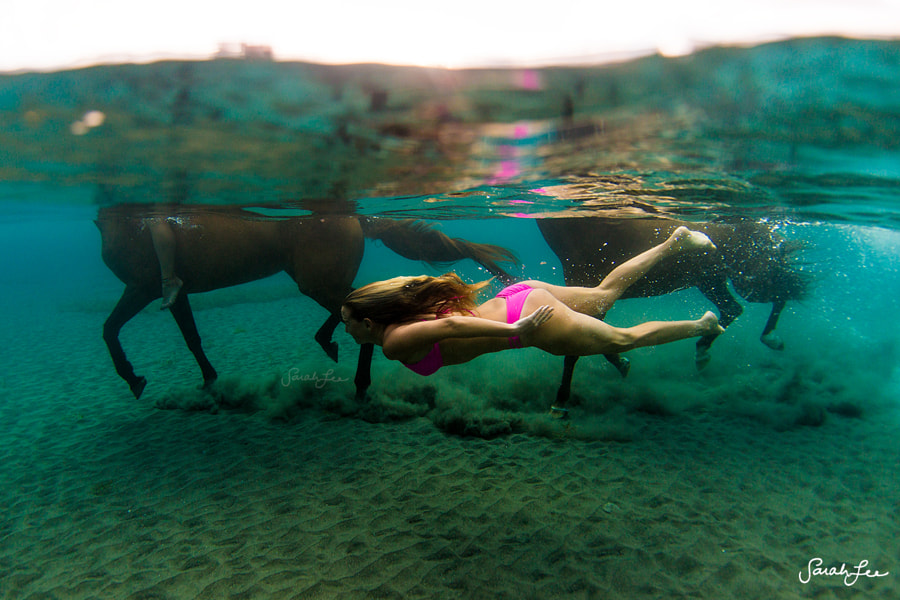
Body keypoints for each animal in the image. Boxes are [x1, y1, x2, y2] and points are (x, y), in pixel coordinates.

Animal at [98, 204, 516, 400]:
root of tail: (355, 219)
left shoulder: (140, 288)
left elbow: (108, 329)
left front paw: (133, 378)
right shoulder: (175, 295)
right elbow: (190, 337)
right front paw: (209, 380)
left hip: (314, 281)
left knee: (357, 310)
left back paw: (358, 382)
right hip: (318, 281)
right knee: (352, 304)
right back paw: (330, 345)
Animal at [536, 214, 812, 408]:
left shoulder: (590, 288)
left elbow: (576, 350)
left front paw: (561, 401)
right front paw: (623, 363)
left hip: (749, 281)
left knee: (781, 291)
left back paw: (770, 337)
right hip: (711, 281)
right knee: (736, 308)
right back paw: (703, 350)